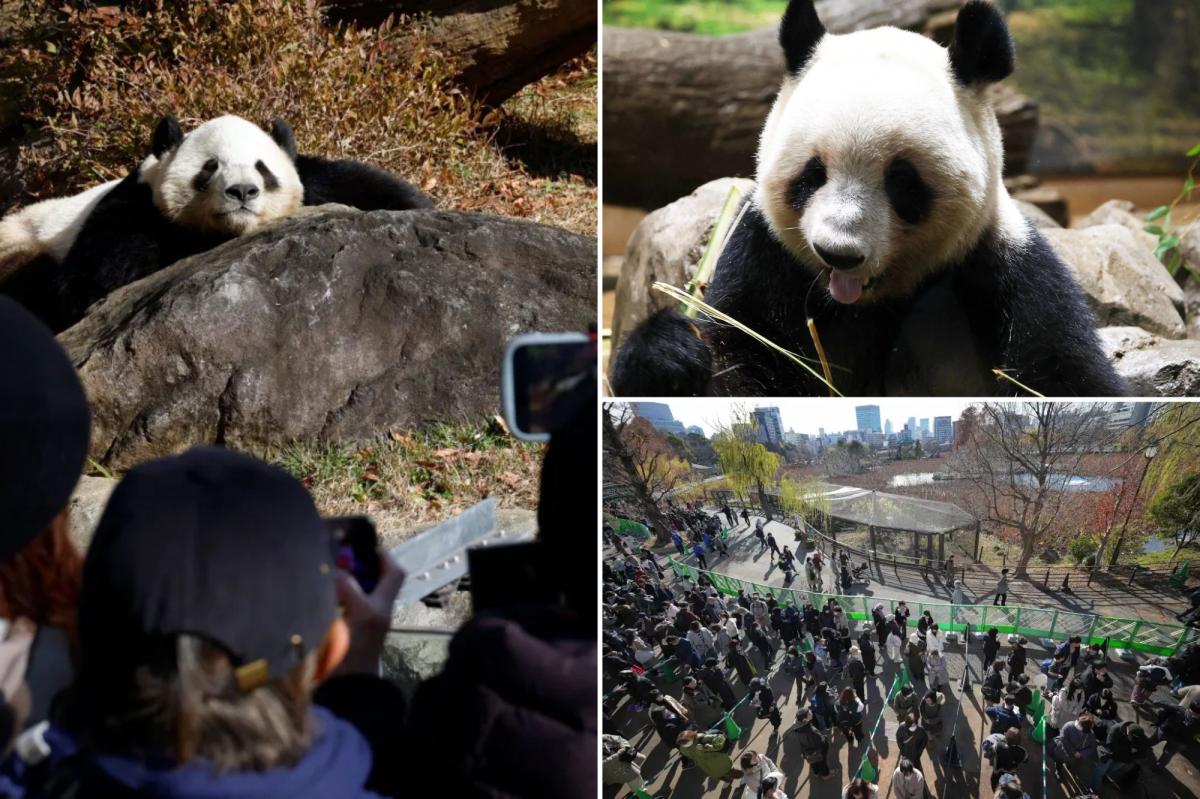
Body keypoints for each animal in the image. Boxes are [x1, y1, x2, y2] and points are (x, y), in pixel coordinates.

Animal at [0, 114, 431, 331]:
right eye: (210, 167)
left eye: (262, 168)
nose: (242, 192)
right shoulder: (130, 209)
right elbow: (96, 279)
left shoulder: (316, 180)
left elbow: (365, 184)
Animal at [610, 0, 1126, 397]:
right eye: (812, 173)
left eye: (902, 181)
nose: (838, 253)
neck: (867, 303)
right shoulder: (764, 259)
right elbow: (738, 365)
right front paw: (667, 357)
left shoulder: (1001, 270)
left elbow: (1063, 373)